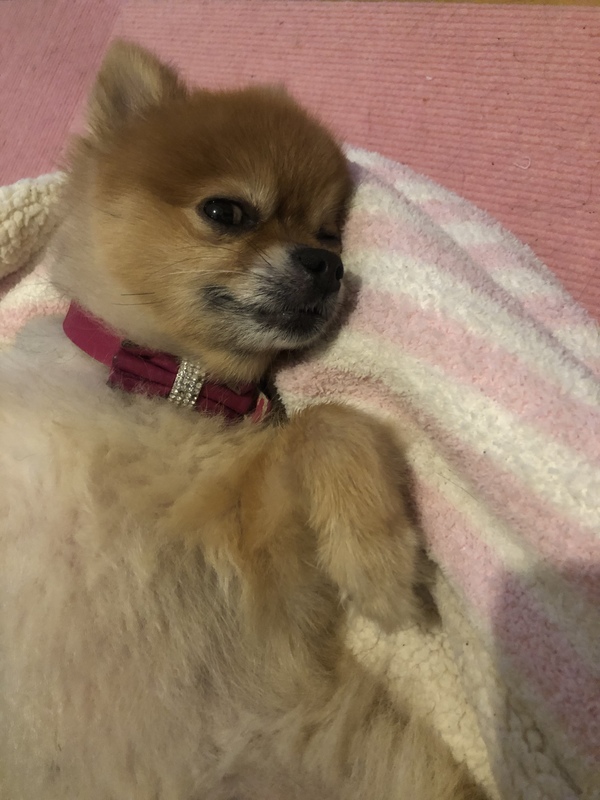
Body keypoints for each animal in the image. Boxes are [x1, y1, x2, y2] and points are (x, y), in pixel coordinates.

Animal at [0, 41, 489, 800]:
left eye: (328, 232)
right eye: (227, 211)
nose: (328, 265)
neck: (167, 391)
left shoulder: (270, 587)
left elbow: (329, 422)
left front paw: (375, 558)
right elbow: (325, 423)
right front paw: (380, 557)